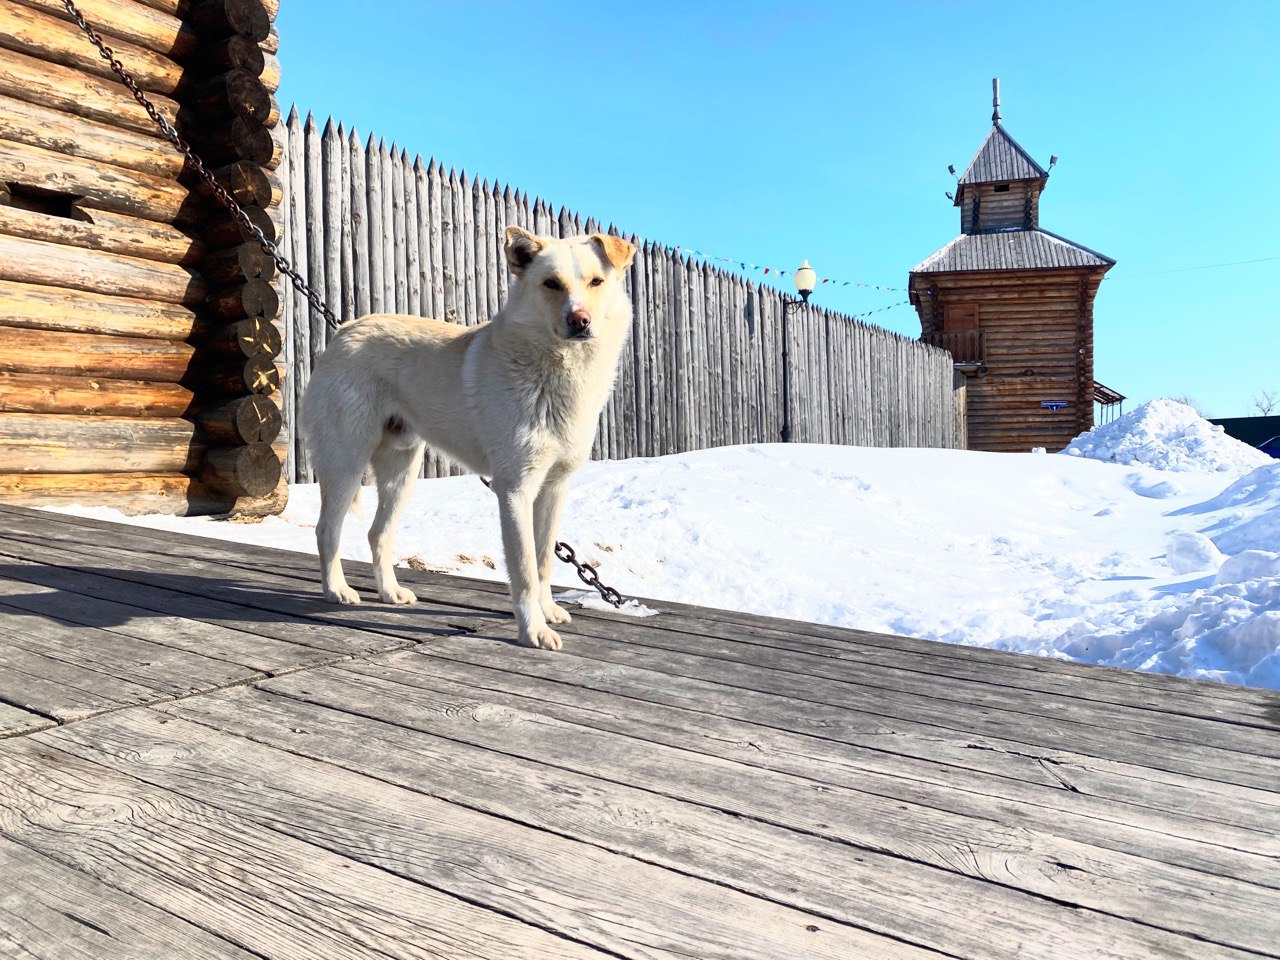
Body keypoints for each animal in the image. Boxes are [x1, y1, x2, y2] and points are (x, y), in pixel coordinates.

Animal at [300, 226, 640, 650]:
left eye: (596, 282)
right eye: (551, 284)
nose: (580, 320)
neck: (558, 370)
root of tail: (345, 330)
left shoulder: (554, 489)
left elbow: (544, 560)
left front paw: (548, 612)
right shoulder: (514, 490)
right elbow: (525, 570)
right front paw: (532, 630)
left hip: (401, 475)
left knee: (378, 533)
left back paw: (390, 592)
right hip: (346, 465)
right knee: (327, 531)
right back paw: (337, 590)